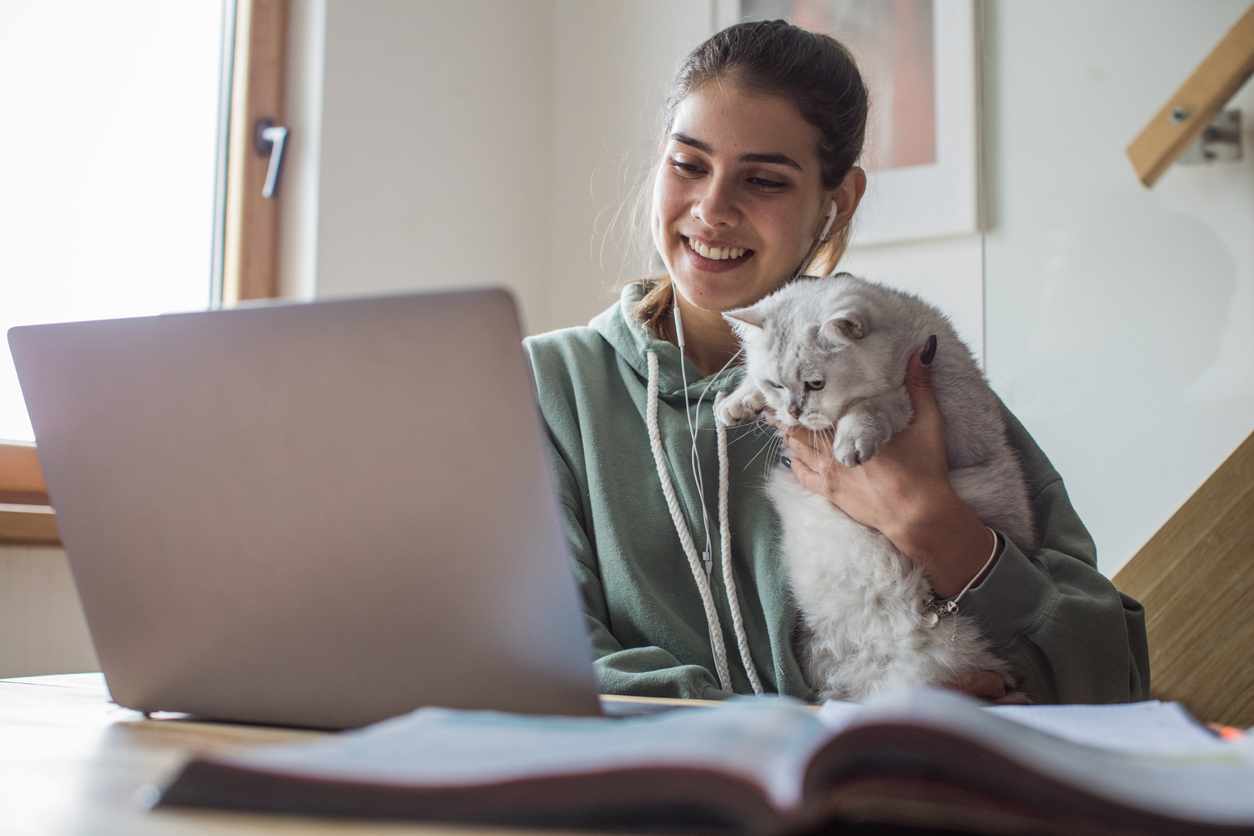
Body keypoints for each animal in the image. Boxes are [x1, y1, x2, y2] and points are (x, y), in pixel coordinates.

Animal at [717, 273, 1028, 701]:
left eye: (816, 384)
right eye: (776, 384)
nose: (793, 411)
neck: (899, 346)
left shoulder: (904, 400)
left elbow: (867, 410)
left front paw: (851, 445)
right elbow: (751, 387)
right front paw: (735, 403)